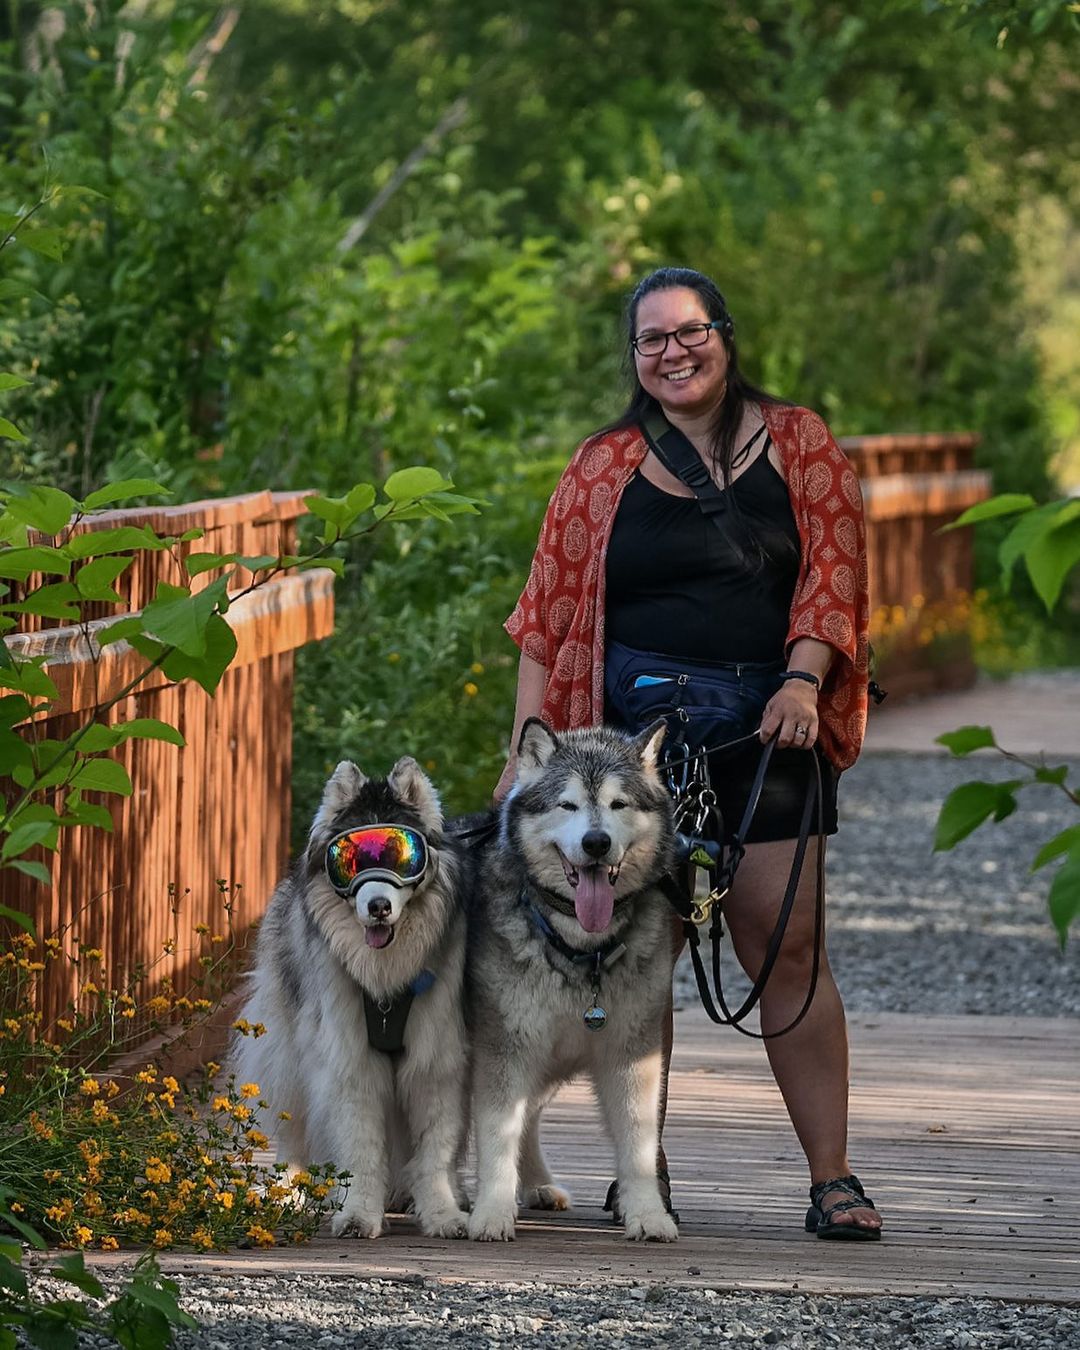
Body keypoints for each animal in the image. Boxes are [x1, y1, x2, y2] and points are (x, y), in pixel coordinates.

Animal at [229, 756, 469, 1236]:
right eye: (350, 860)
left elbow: (434, 1150)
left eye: (403, 856)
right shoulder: (350, 1060)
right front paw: (358, 1211)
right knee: (294, 1126)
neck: (386, 981)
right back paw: (291, 1185)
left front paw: (442, 1212)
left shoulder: (437, 1061)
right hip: (288, 1053)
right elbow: (360, 1147)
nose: (378, 906)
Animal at [467, 718, 680, 1242]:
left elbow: (639, 1145)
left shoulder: (633, 1054)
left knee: (530, 1119)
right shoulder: (504, 1049)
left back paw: (538, 1185)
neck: (582, 950)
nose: (596, 843)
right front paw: (492, 1212)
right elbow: (497, 1135)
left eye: (618, 804)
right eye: (568, 805)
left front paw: (647, 1213)